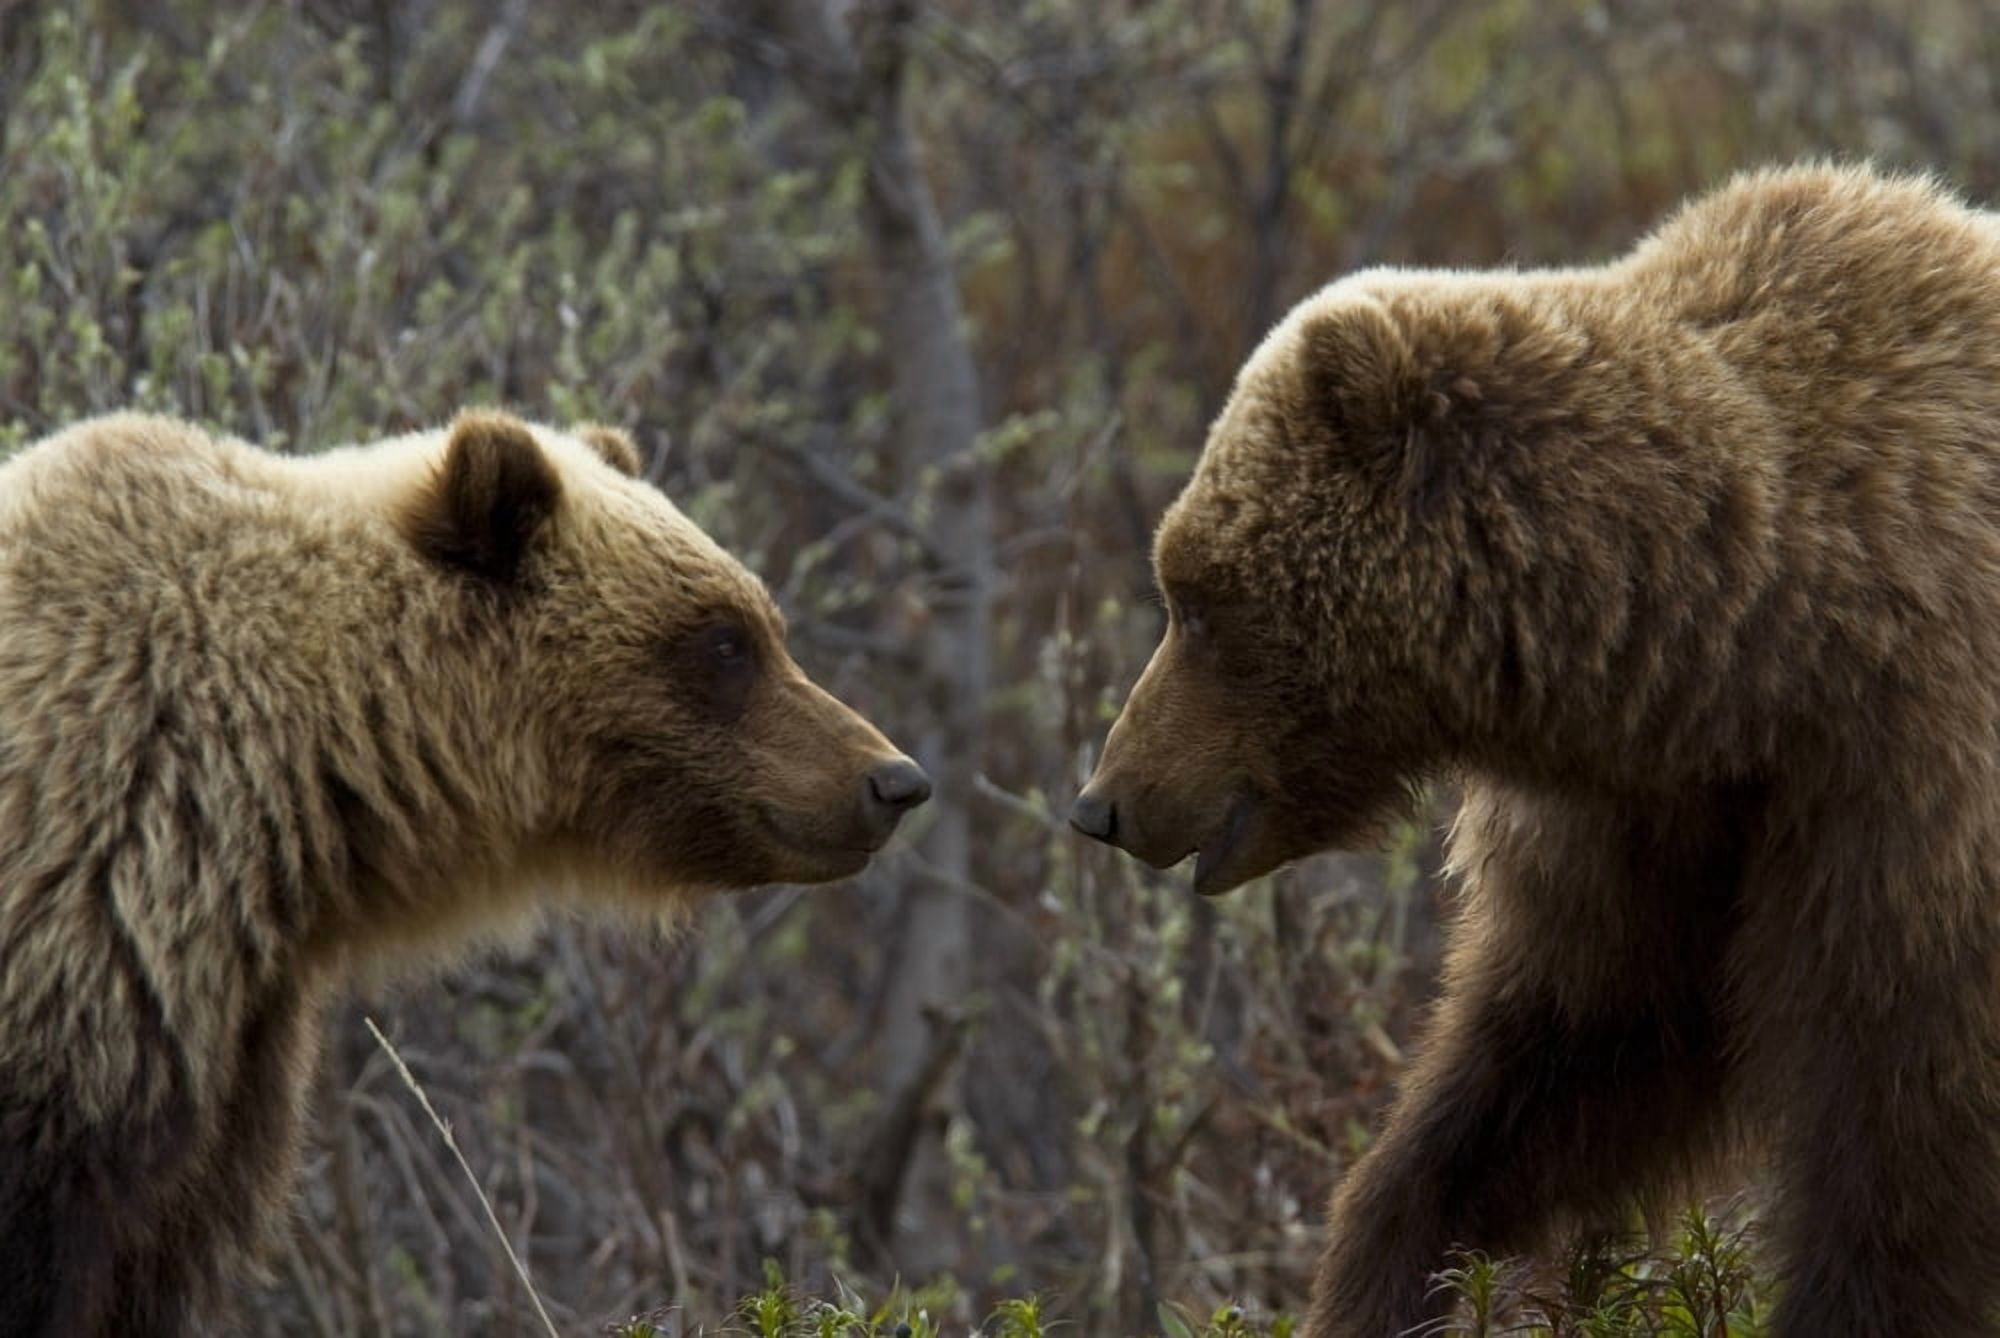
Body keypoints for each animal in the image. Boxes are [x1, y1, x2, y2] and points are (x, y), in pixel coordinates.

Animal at [1070, 163, 2000, 1338]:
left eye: (1190, 596)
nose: (1101, 802)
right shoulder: (1665, 823)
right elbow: (1567, 1056)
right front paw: (1390, 1271)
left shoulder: (1909, 798)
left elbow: (1902, 1151)